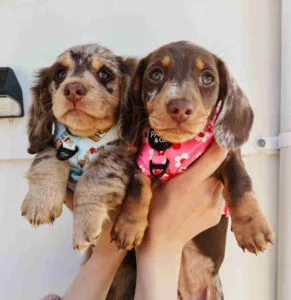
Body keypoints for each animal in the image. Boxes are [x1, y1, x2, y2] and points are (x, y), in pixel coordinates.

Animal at [20, 44, 138, 251]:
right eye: (60, 73)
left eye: (105, 74)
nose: (73, 88)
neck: (84, 139)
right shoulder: (56, 144)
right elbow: (48, 159)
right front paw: (40, 202)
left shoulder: (121, 153)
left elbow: (94, 175)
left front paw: (84, 224)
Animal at [108, 41, 276, 300]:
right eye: (155, 74)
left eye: (208, 78)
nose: (179, 107)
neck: (172, 148)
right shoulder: (143, 162)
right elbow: (138, 187)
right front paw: (129, 224)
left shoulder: (229, 156)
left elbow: (240, 183)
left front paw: (252, 227)